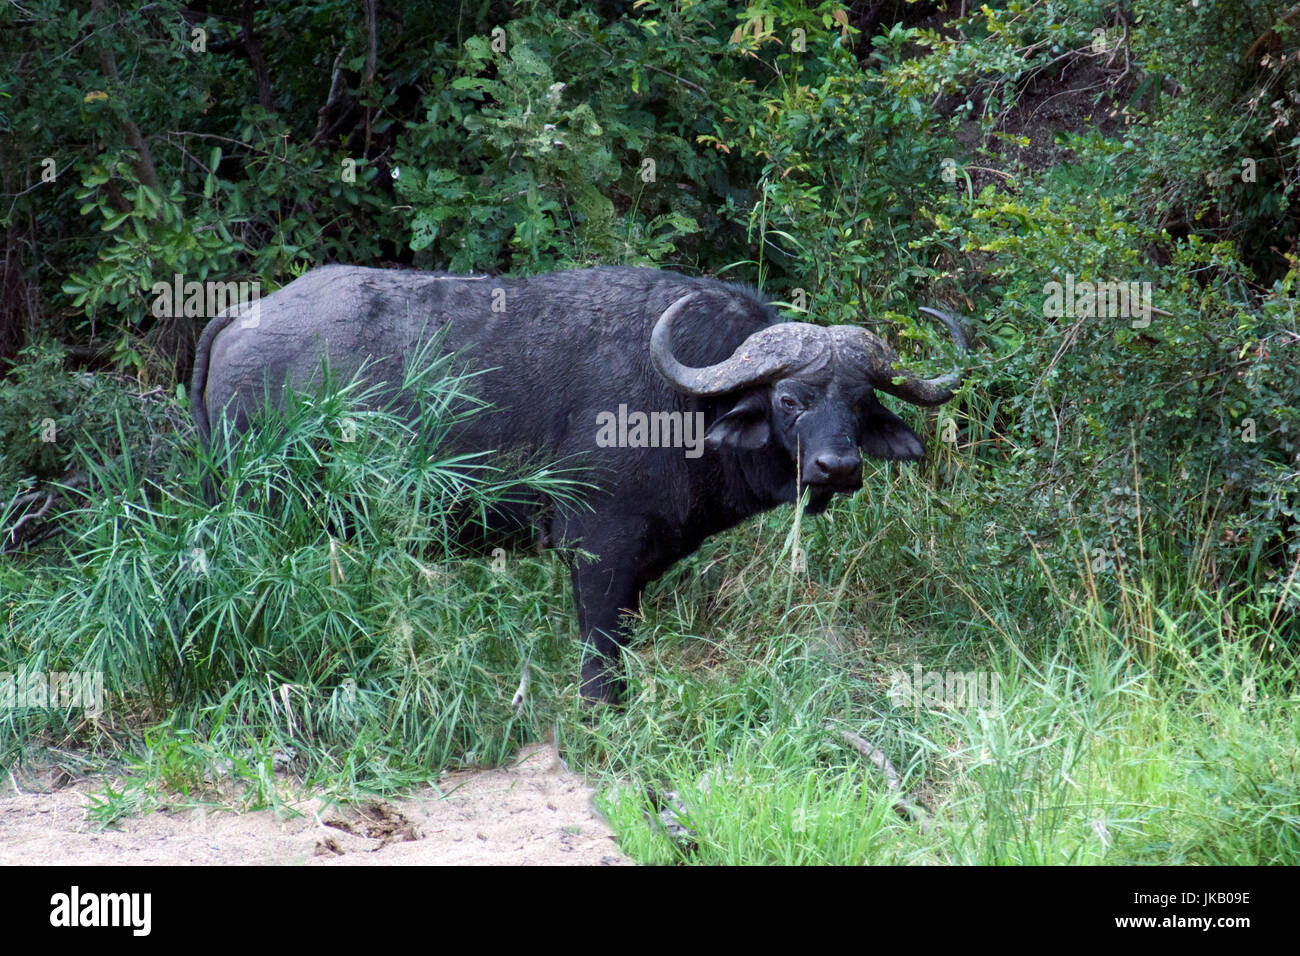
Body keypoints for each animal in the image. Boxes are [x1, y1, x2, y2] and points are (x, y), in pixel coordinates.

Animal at [192, 265, 966, 702]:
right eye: (790, 399)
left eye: (860, 403)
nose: (839, 468)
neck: (682, 403)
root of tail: (242, 315)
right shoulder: (599, 548)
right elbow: (601, 648)